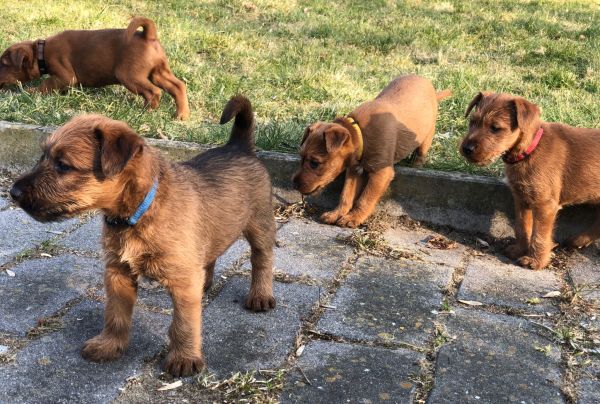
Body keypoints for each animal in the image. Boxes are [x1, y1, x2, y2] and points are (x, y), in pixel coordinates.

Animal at [0, 16, 189, 120]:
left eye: (4, 64)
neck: (41, 51)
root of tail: (147, 35)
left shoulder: (65, 76)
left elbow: (45, 85)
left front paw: (28, 93)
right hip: (159, 72)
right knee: (178, 86)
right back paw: (182, 115)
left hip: (128, 75)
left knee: (154, 92)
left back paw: (146, 112)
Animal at [8, 96, 276, 378]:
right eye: (43, 157)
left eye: (63, 165)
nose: (13, 192)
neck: (139, 211)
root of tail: (239, 146)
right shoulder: (118, 272)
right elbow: (115, 315)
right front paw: (109, 345)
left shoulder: (182, 283)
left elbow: (184, 323)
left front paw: (184, 358)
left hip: (260, 224)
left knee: (262, 258)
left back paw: (260, 295)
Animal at [290, 75, 450, 227]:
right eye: (301, 157)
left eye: (315, 163)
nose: (294, 185)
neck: (360, 134)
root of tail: (430, 86)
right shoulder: (354, 171)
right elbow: (346, 195)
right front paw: (336, 213)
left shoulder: (381, 173)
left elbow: (365, 199)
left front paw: (353, 218)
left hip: (426, 137)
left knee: (420, 154)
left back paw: (416, 165)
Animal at [462, 90, 600, 270]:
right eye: (472, 122)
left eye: (495, 128)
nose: (466, 148)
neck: (530, 150)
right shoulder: (521, 198)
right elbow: (521, 227)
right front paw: (520, 250)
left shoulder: (545, 204)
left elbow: (539, 234)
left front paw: (536, 260)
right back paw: (578, 240)